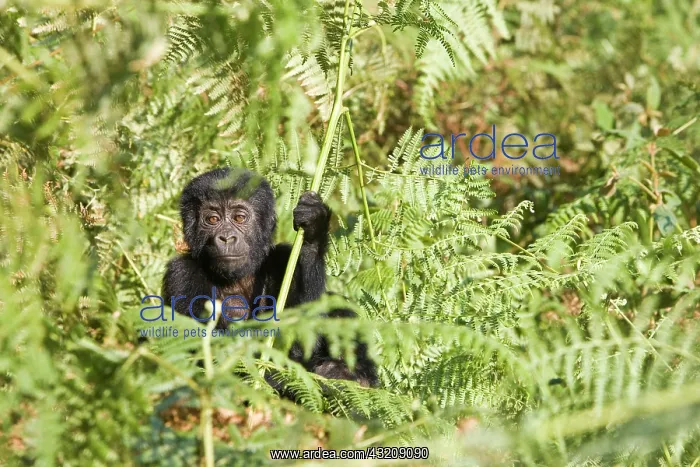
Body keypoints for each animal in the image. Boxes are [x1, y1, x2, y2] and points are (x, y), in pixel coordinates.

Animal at [162, 167, 378, 389]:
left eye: (239, 218)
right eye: (212, 220)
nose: (227, 237)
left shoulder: (282, 259)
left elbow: (303, 343)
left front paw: (312, 229)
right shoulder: (181, 274)